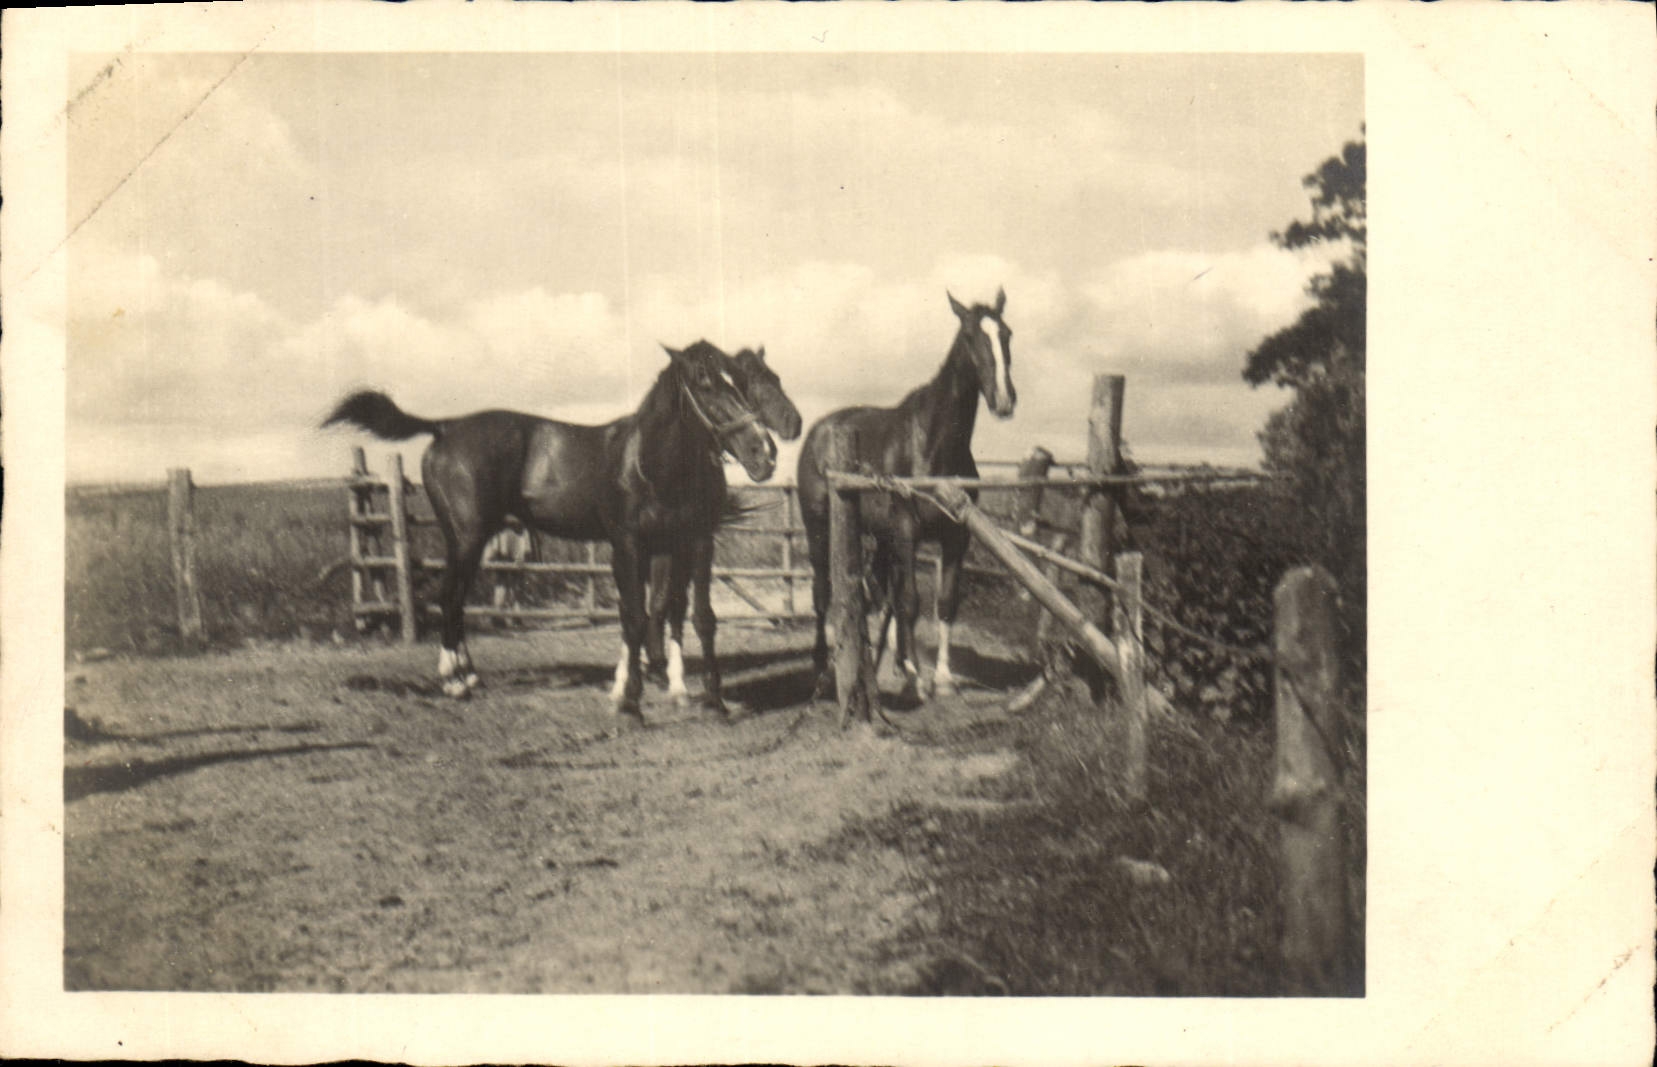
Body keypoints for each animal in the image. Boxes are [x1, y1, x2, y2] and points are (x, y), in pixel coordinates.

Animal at [322, 342, 778, 716]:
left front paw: (688, 692)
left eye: (739, 382)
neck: (649, 462)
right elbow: (635, 613)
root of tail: (444, 427)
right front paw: (629, 694)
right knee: (449, 597)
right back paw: (454, 682)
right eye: (704, 383)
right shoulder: (628, 545)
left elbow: (677, 611)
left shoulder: (676, 543)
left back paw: (468, 675)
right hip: (466, 538)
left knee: (457, 599)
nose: (765, 452)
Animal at [642, 345, 803, 712]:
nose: (794, 423)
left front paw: (706, 691)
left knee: (672, 605)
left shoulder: (699, 542)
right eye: (755, 384)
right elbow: (661, 604)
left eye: (776, 379)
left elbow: (695, 612)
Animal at [796, 289, 1015, 703]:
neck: (931, 446)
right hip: (820, 528)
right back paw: (822, 670)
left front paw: (941, 678)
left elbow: (943, 603)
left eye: (1007, 334)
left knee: (879, 594)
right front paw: (916, 678)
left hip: (876, 536)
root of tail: (818, 432)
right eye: (970, 336)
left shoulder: (956, 537)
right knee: (823, 594)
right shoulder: (906, 532)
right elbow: (911, 602)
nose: (1004, 400)